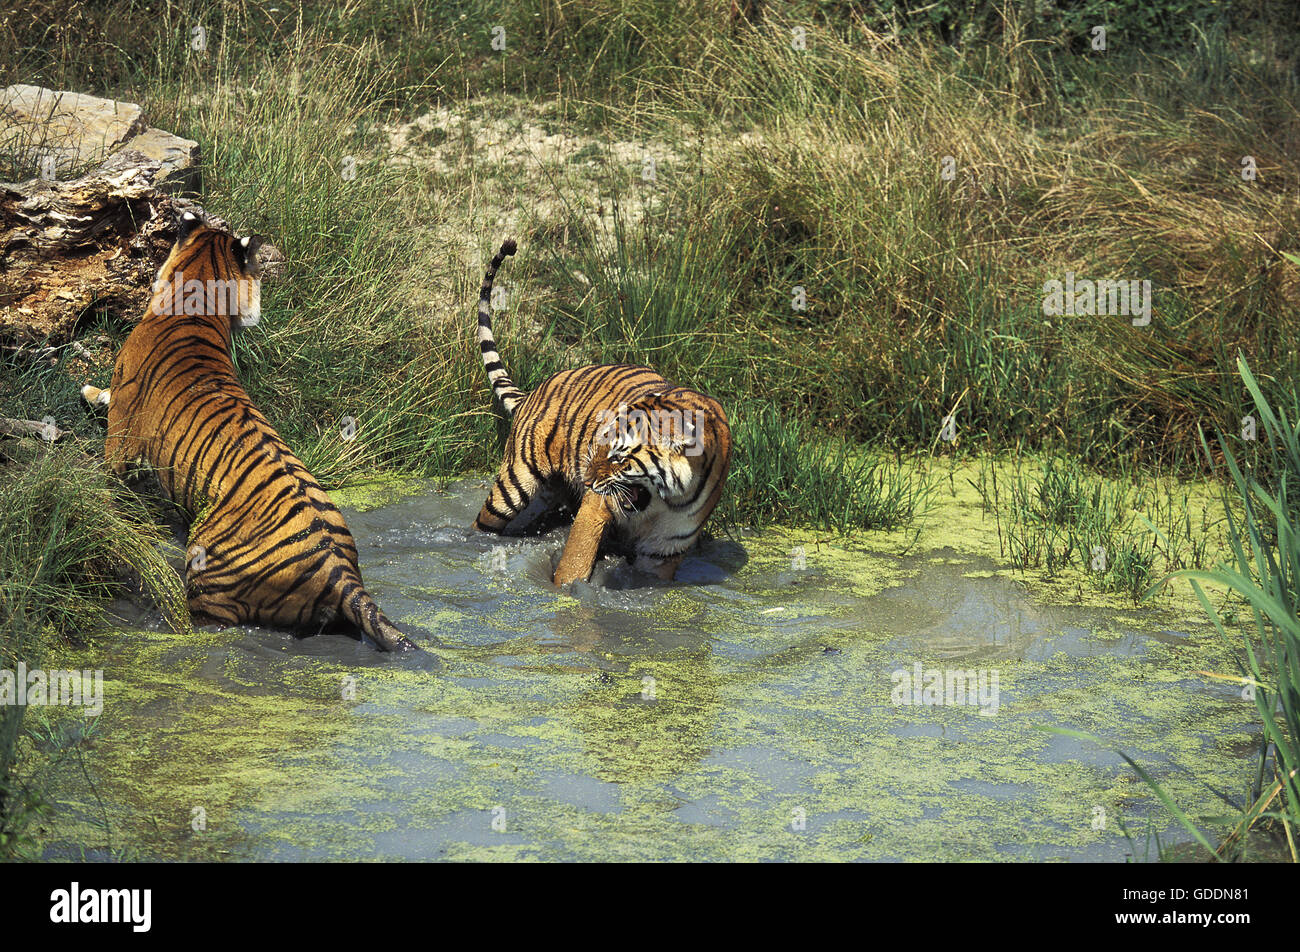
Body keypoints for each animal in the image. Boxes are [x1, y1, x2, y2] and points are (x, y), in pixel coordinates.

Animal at [473, 238, 732, 583]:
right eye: (601, 443)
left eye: (619, 456)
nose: (588, 481)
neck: (668, 500)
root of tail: (534, 391)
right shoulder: (597, 508)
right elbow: (575, 562)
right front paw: (566, 591)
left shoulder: (664, 549)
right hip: (514, 483)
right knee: (483, 522)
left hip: (553, 494)